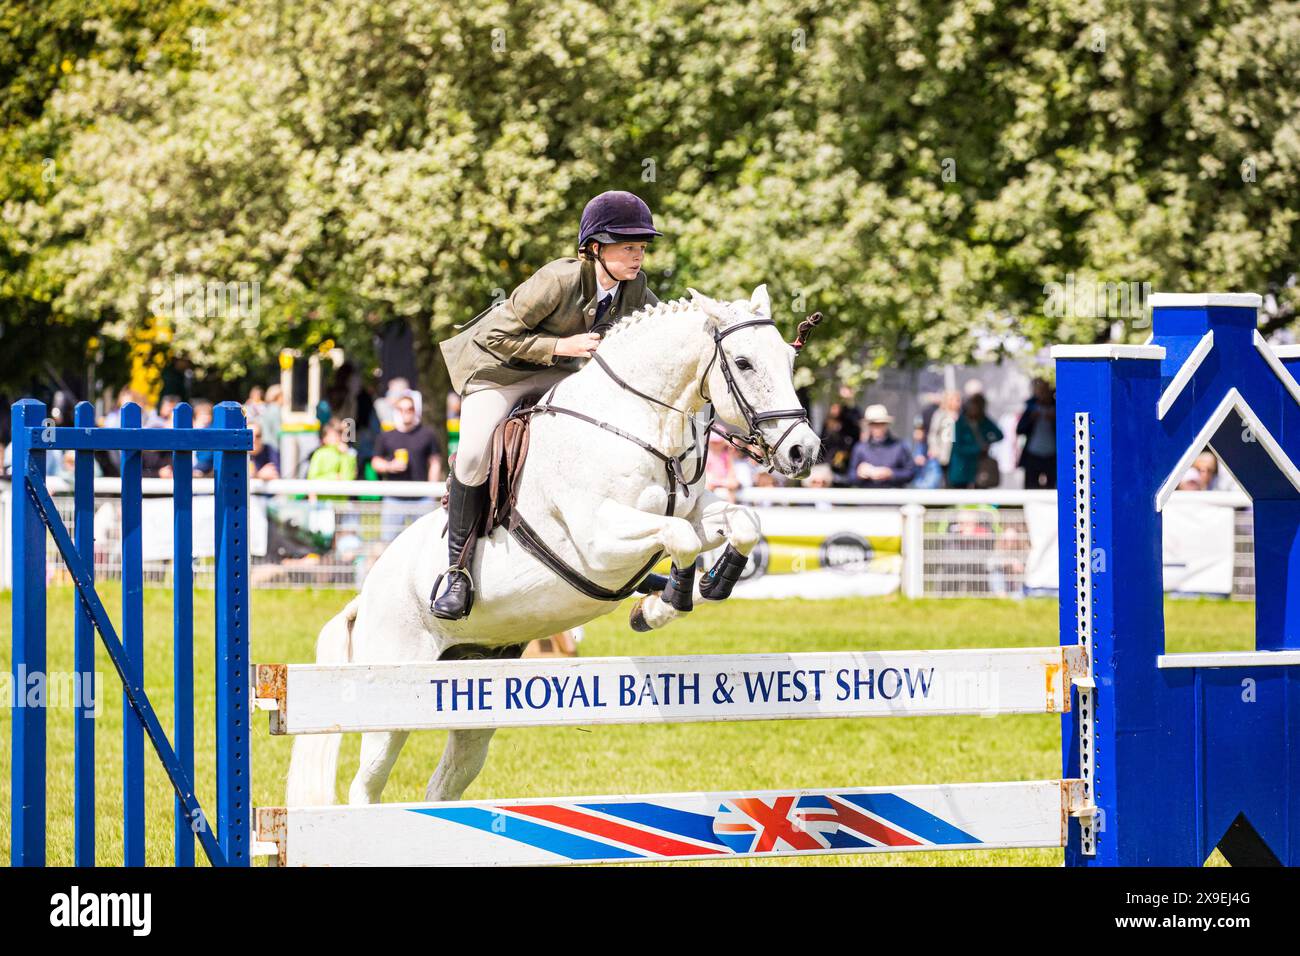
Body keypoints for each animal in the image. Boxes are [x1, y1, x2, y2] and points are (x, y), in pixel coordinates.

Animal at [288, 282, 821, 806]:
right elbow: (680, 536)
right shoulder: (599, 539)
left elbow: (742, 522)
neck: (637, 423)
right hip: (395, 692)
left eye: (788, 358)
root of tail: (362, 599)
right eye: (744, 363)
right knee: (365, 787)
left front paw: (697, 590)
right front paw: (666, 600)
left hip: (473, 692)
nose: (804, 451)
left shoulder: (691, 509)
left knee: (443, 784)